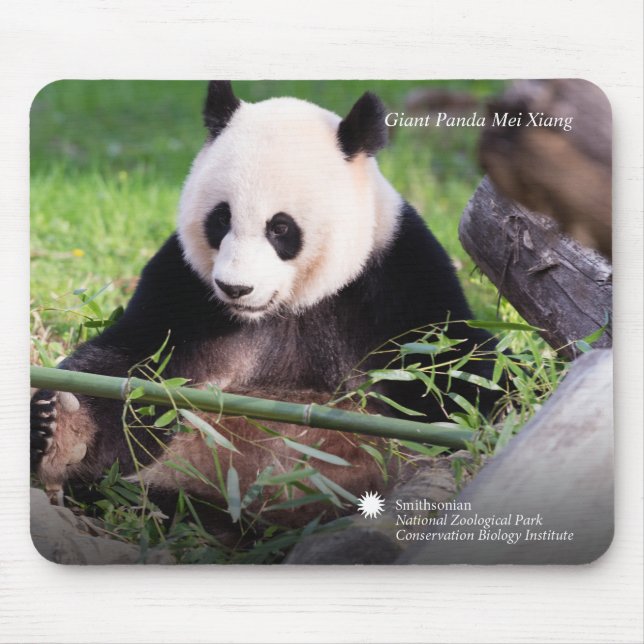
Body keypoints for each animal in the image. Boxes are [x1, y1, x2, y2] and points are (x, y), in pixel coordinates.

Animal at [31, 81, 500, 528]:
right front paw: (58, 432)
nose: (235, 288)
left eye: (280, 228)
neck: (286, 307)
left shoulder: (394, 280)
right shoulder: (183, 290)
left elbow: (454, 368)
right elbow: (130, 369)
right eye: (221, 218)